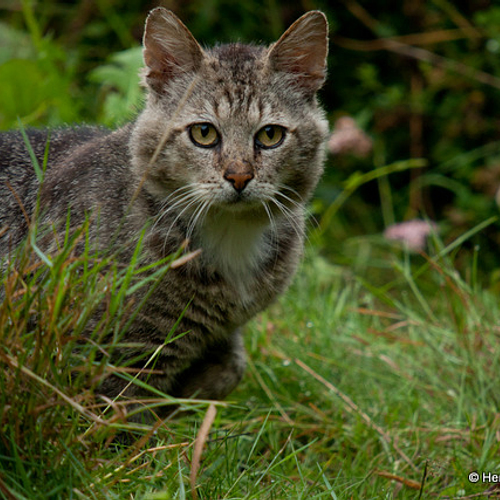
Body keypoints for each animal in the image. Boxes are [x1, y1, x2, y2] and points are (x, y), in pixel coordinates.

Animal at [0, 7, 330, 418]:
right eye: (204, 133)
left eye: (270, 136)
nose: (239, 177)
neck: (230, 235)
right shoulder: (119, 354)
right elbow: (122, 421)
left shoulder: (222, 332)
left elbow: (232, 365)